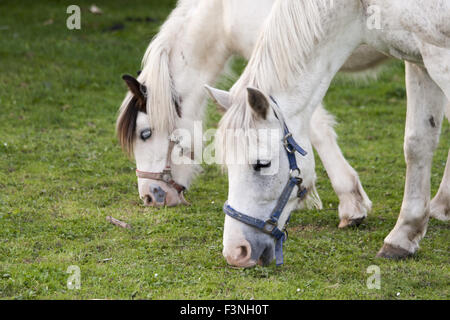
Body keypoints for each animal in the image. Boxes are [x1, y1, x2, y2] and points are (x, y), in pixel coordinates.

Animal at [208, 0, 450, 266]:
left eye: (262, 164)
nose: (236, 252)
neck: (360, 7)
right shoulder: (419, 63)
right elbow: (417, 144)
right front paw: (404, 235)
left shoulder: (439, 57)